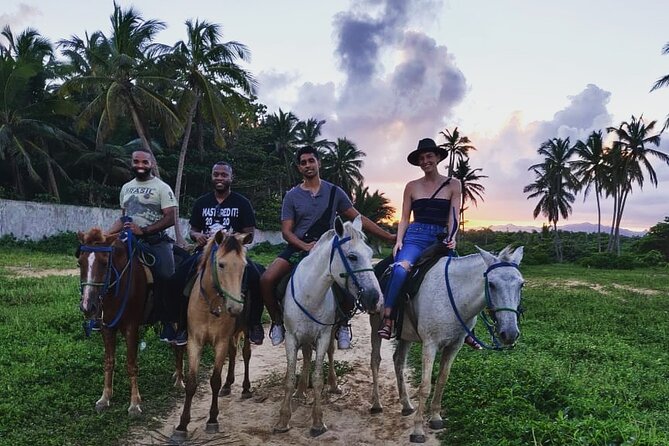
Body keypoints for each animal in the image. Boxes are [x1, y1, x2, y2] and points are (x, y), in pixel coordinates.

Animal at [77, 228, 153, 416]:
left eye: (105, 263)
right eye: (80, 263)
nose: (87, 306)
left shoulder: (131, 327)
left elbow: (131, 364)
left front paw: (134, 403)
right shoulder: (107, 327)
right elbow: (109, 362)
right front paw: (105, 398)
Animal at [170, 232, 250, 440]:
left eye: (244, 265)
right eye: (221, 264)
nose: (235, 308)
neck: (210, 305)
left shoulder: (220, 342)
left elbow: (214, 380)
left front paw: (212, 420)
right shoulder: (194, 342)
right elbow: (191, 383)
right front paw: (182, 426)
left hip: (245, 329)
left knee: (246, 354)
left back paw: (246, 388)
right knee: (233, 353)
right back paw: (228, 385)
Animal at [274, 215, 384, 436]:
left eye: (370, 254)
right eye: (352, 257)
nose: (375, 298)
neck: (309, 294)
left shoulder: (323, 335)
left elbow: (318, 377)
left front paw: (317, 422)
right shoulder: (291, 336)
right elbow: (290, 377)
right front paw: (283, 420)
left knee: (330, 354)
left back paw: (333, 385)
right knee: (307, 354)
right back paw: (300, 392)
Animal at [388, 246, 524, 444]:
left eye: (521, 285)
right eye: (491, 284)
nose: (510, 333)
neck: (453, 295)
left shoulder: (454, 346)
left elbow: (442, 380)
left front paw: (435, 418)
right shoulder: (430, 345)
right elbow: (425, 386)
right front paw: (418, 430)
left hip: (405, 336)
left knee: (398, 360)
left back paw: (406, 405)